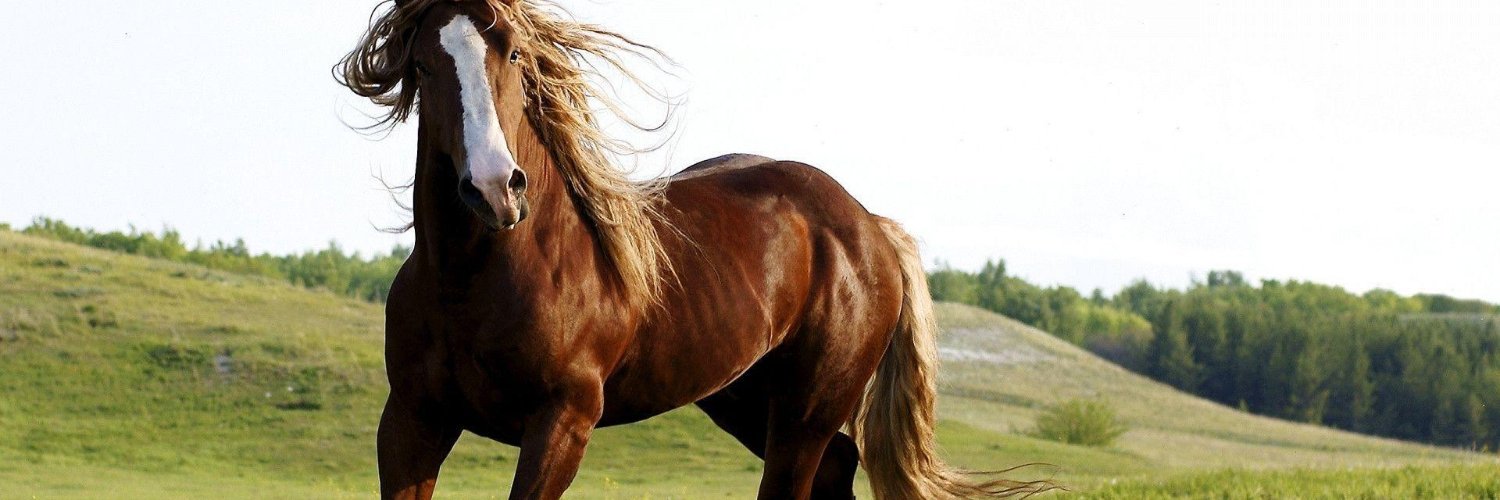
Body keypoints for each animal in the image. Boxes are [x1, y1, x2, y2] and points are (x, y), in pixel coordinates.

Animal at [337, 1, 1047, 498]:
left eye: (512, 53)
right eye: (423, 64)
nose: (493, 188)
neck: (477, 279)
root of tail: (869, 226)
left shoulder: (561, 425)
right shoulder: (411, 421)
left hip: (807, 413)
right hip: (746, 401)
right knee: (837, 470)